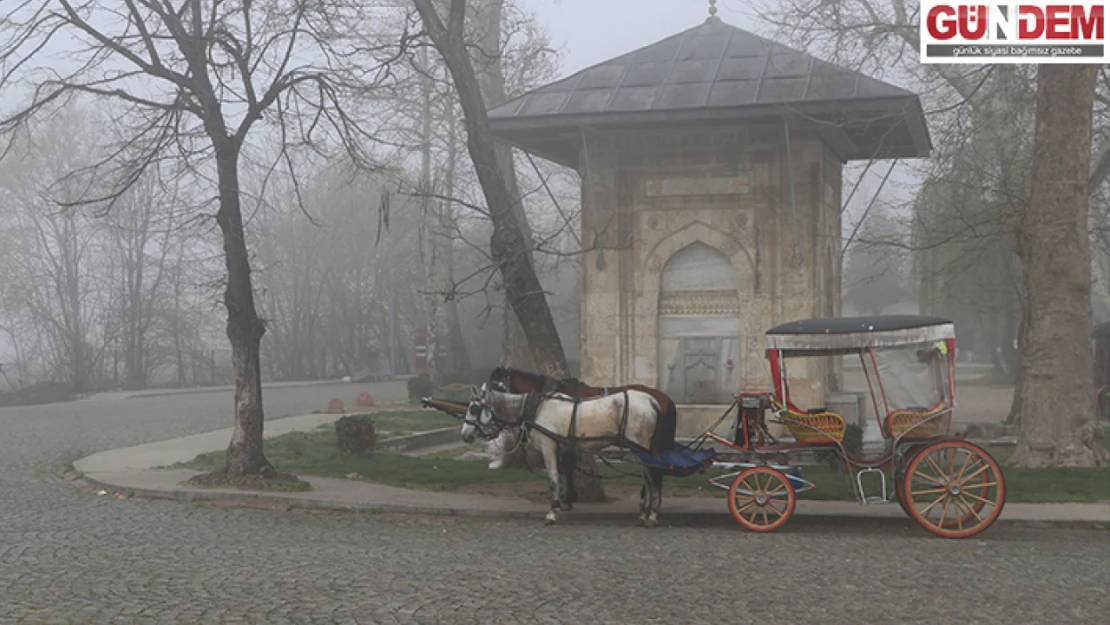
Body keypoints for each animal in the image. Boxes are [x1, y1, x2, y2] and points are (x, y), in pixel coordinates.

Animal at [461, 384, 661, 526]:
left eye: (473, 409)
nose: (464, 435)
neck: (537, 409)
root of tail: (651, 400)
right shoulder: (561, 448)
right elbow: (563, 473)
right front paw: (564, 503)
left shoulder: (548, 447)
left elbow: (553, 480)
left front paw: (552, 512)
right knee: (647, 477)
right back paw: (645, 513)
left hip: (640, 448)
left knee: (651, 476)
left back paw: (652, 514)